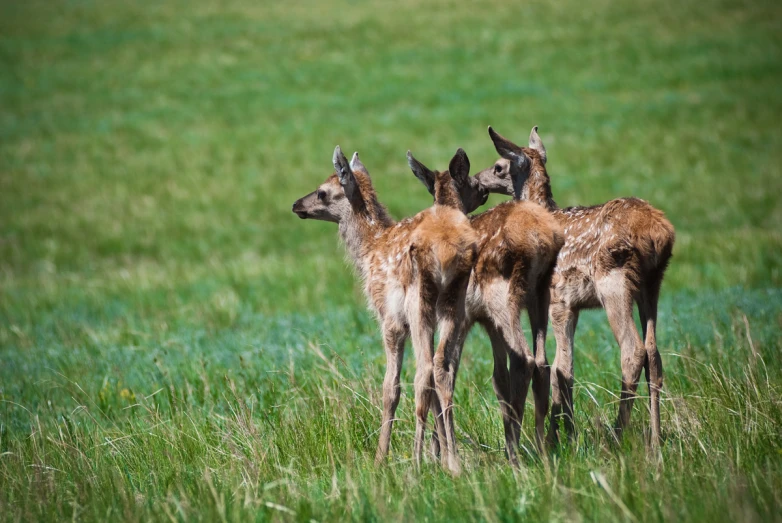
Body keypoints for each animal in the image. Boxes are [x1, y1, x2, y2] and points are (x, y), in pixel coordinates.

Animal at [294, 144, 478, 474]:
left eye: (322, 192)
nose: (296, 205)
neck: (370, 249)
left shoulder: (388, 318)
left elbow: (389, 387)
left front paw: (381, 458)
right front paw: (443, 456)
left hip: (418, 300)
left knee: (424, 370)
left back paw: (415, 464)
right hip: (454, 300)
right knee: (443, 367)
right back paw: (453, 462)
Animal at [408, 147, 568, 462]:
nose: (482, 188)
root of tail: (540, 239)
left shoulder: (464, 316)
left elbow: (447, 370)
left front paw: (439, 453)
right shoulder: (486, 323)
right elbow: (498, 378)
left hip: (501, 298)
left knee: (523, 359)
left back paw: (517, 455)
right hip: (539, 294)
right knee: (541, 362)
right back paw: (539, 450)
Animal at [474, 127, 676, 450]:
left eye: (498, 166)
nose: (476, 181)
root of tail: (659, 233)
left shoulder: (560, 301)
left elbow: (562, 368)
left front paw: (559, 438)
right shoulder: (575, 306)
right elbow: (563, 368)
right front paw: (565, 434)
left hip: (614, 280)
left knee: (633, 351)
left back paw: (616, 436)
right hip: (653, 283)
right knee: (654, 355)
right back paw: (655, 440)